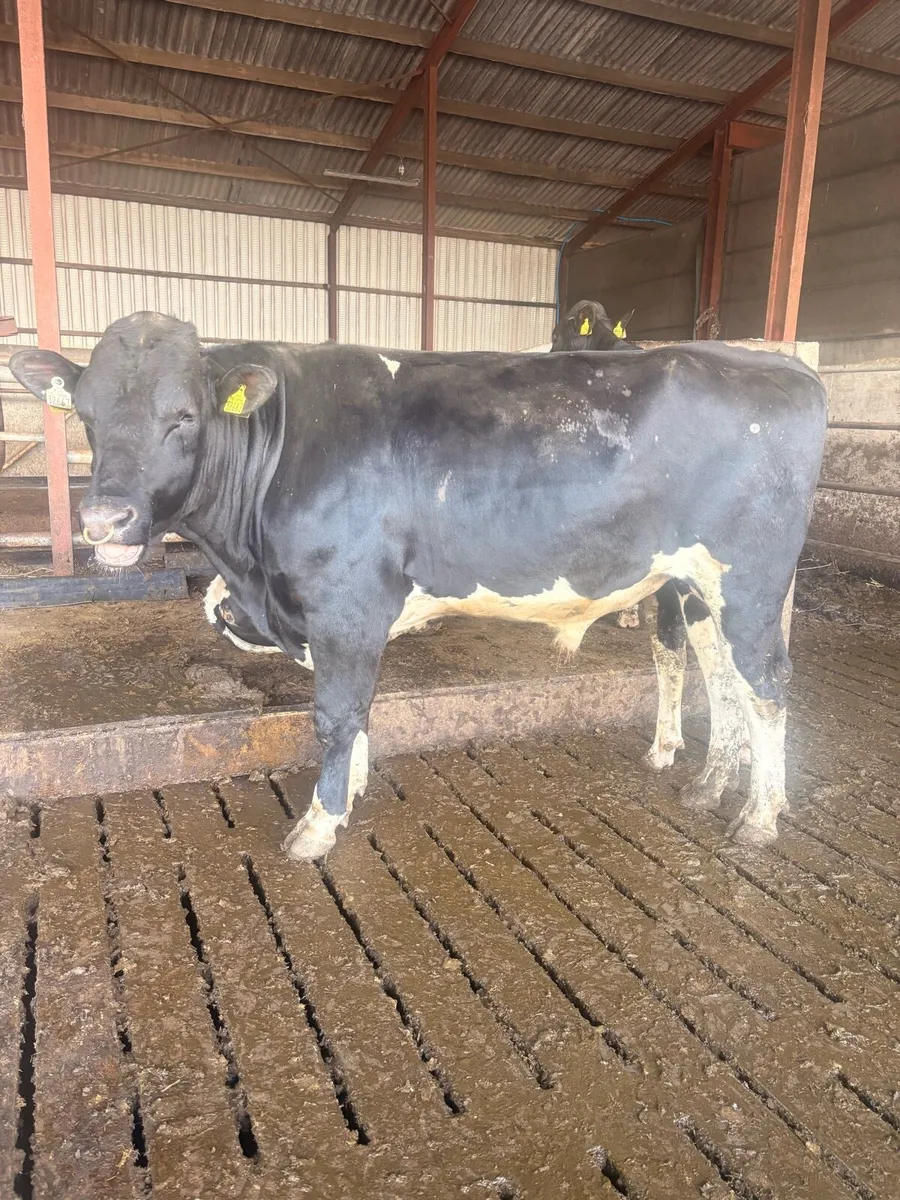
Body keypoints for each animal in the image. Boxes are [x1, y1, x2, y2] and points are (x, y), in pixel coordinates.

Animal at [11, 311, 827, 860]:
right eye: (85, 415)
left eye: (184, 416)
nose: (105, 519)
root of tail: (780, 365)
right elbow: (354, 706)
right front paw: (351, 789)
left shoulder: (343, 602)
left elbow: (335, 713)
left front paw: (320, 823)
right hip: (693, 584)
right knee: (718, 672)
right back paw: (708, 782)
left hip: (751, 580)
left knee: (767, 684)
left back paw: (759, 816)